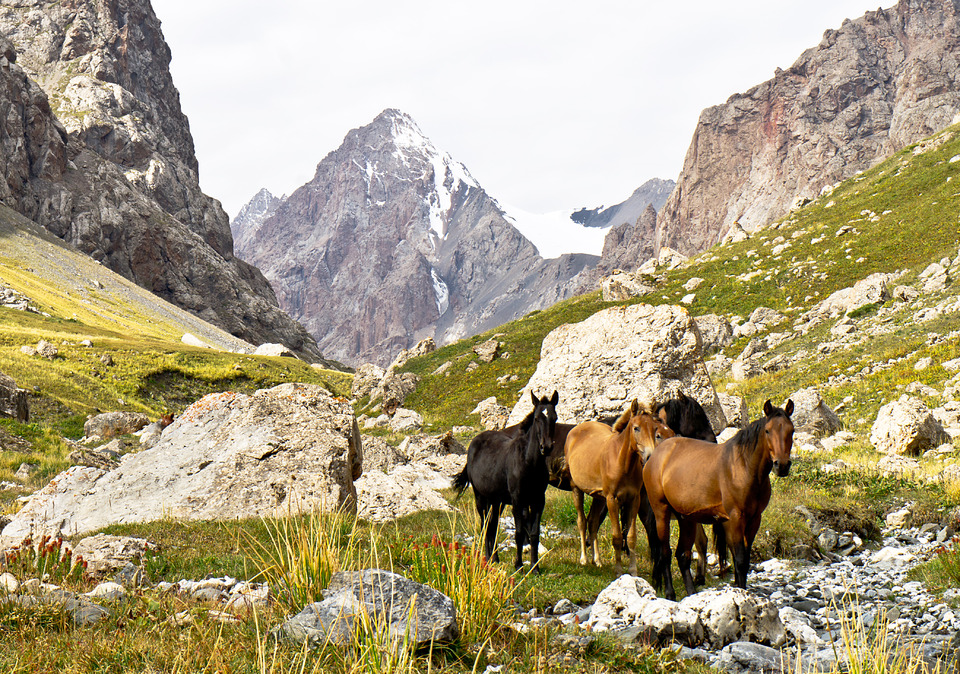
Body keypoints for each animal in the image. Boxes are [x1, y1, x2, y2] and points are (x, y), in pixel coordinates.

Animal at [456, 392, 560, 568]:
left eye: (554, 417)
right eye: (537, 418)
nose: (546, 447)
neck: (529, 463)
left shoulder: (538, 500)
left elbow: (534, 534)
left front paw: (535, 567)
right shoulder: (518, 500)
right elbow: (518, 533)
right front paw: (519, 565)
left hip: (497, 500)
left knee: (493, 525)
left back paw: (495, 558)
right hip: (480, 497)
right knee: (485, 526)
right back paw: (488, 559)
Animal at [564, 396, 676, 576]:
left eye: (654, 429)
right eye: (636, 428)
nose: (650, 456)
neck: (622, 462)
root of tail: (577, 429)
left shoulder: (634, 500)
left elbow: (630, 537)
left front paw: (632, 570)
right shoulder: (612, 499)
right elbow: (617, 536)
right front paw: (618, 570)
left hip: (598, 497)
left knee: (593, 522)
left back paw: (598, 561)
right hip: (577, 489)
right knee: (581, 521)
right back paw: (584, 559)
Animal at [644, 396, 796, 596]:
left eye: (791, 430)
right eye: (768, 430)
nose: (782, 465)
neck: (744, 467)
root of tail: (656, 455)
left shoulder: (754, 519)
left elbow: (744, 560)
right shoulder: (735, 518)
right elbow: (740, 560)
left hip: (686, 518)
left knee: (683, 555)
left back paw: (691, 593)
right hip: (662, 513)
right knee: (665, 554)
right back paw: (670, 594)